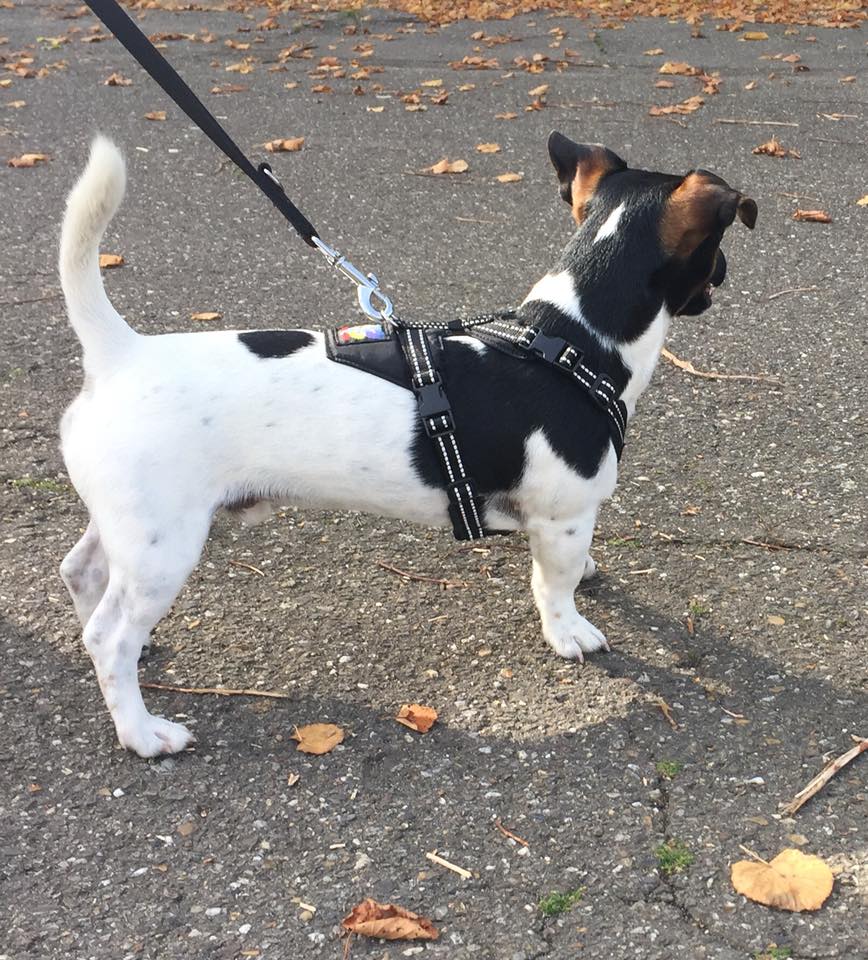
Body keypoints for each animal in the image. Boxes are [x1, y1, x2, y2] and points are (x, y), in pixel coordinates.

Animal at [57, 131, 756, 756]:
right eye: (718, 247)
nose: (725, 272)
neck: (568, 338)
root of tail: (119, 354)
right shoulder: (562, 518)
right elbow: (553, 587)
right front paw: (570, 633)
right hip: (164, 547)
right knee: (108, 638)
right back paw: (142, 732)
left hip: (128, 529)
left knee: (83, 575)